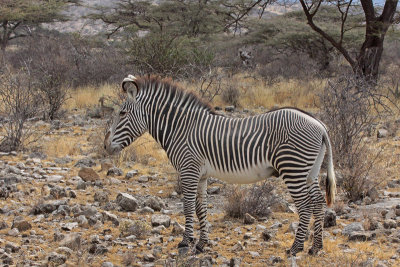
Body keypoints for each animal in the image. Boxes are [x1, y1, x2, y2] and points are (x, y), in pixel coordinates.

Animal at [104, 74, 336, 256]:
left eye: (122, 113)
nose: (106, 146)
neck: (181, 128)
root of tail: (320, 125)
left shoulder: (188, 170)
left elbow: (188, 207)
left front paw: (185, 243)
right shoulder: (201, 175)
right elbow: (200, 208)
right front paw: (201, 244)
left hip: (293, 168)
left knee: (305, 206)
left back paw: (296, 248)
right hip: (310, 170)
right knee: (318, 202)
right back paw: (316, 247)